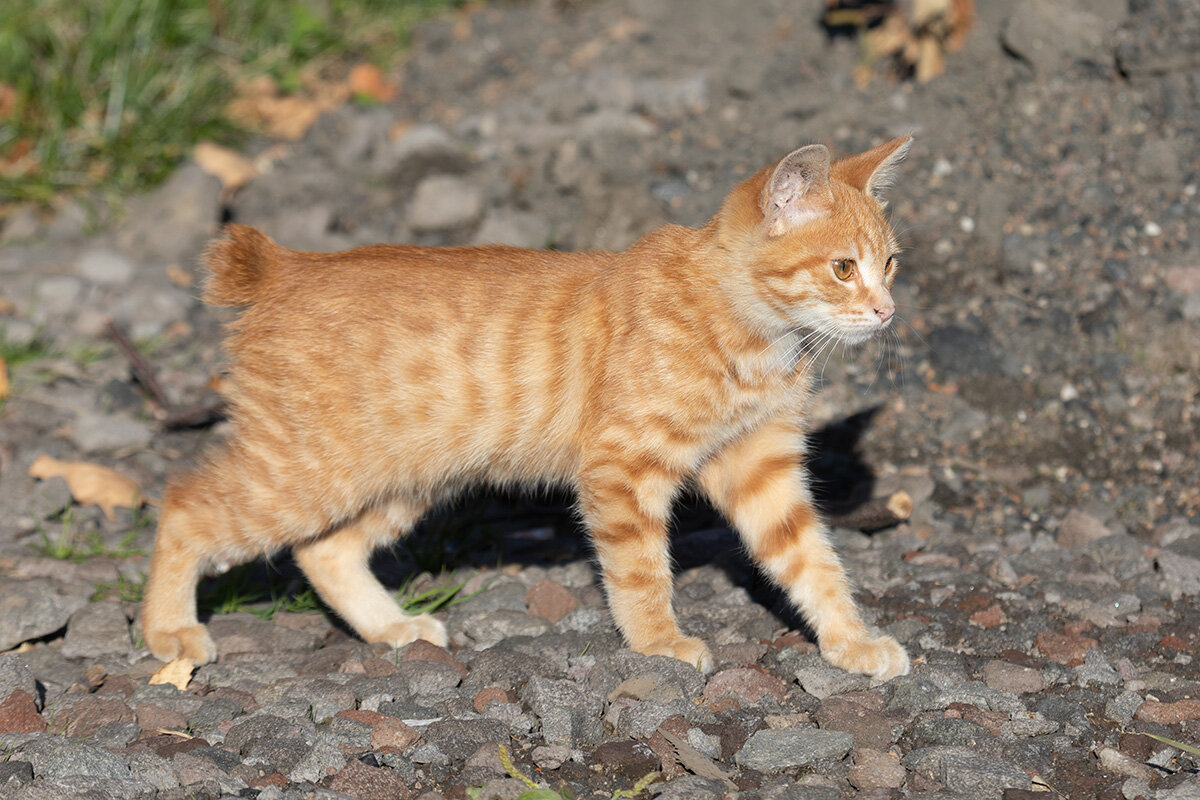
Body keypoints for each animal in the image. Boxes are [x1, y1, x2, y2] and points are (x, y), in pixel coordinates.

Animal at [142, 134, 907, 681]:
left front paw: (851, 642)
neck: (750, 334)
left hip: (401, 480)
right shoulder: (621, 469)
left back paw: (390, 628)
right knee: (183, 505)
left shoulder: (761, 467)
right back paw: (167, 631)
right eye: (843, 268)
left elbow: (812, 563)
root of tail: (287, 265)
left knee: (324, 551)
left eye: (891, 263)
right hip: (302, 475)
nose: (887, 312)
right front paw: (658, 644)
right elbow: (640, 572)